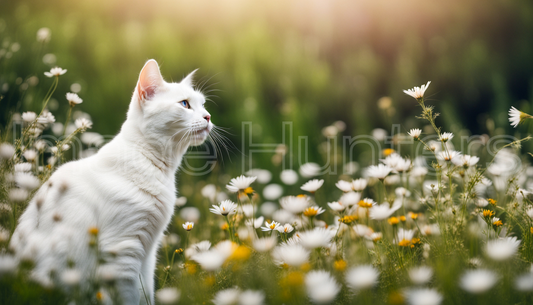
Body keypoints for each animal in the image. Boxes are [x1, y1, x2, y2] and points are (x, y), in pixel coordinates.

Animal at [9, 60, 211, 304]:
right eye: (184, 104)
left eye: (203, 105)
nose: (208, 117)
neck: (158, 167)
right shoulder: (122, 252)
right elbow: (129, 297)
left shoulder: (147, 254)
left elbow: (146, 293)